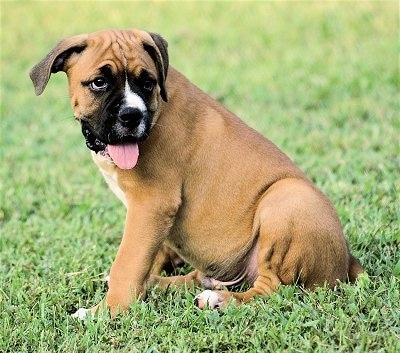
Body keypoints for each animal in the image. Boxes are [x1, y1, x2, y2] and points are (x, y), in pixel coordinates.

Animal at [29, 28, 364, 318]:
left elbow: (127, 263)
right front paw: (140, 287)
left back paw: (219, 300)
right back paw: (169, 286)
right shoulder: (153, 216)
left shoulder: (151, 204)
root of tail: (348, 260)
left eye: (148, 83)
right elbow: (148, 256)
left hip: (287, 199)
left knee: (273, 289)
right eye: (99, 83)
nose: (131, 115)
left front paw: (106, 312)